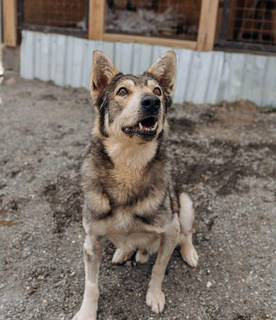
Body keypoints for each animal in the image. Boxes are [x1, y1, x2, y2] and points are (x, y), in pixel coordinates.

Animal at [73, 50, 198, 320]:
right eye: (122, 91)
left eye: (158, 91)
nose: (152, 102)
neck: (129, 164)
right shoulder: (92, 240)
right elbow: (91, 285)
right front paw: (87, 312)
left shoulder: (169, 231)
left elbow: (158, 269)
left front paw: (155, 296)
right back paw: (123, 251)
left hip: (184, 202)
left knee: (187, 233)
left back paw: (189, 252)